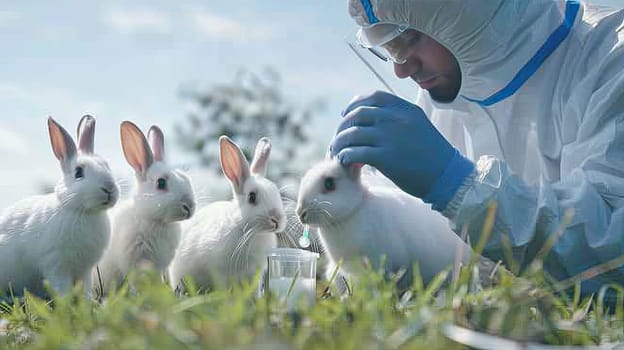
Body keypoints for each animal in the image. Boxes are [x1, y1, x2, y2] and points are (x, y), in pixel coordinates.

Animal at [0, 115, 118, 298]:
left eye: (106, 165)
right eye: (78, 172)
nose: (109, 188)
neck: (82, 211)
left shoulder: (84, 270)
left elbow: (84, 287)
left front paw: (87, 300)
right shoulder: (56, 266)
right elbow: (62, 287)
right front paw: (66, 301)